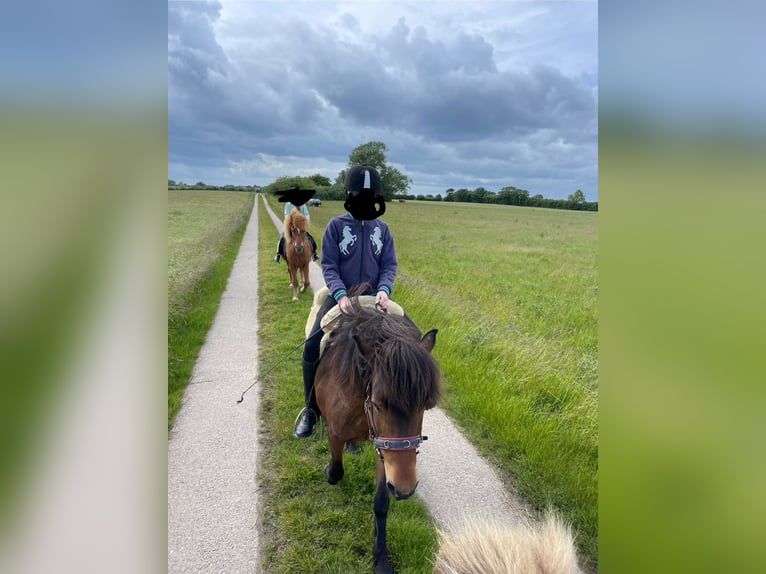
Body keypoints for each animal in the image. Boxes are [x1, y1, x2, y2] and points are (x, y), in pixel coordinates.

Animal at [314, 304, 444, 572]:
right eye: (377, 404)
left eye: (425, 405)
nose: (405, 489)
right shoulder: (334, 433)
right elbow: (336, 472)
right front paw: (327, 470)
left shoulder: (385, 449)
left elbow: (382, 502)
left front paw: (381, 558)